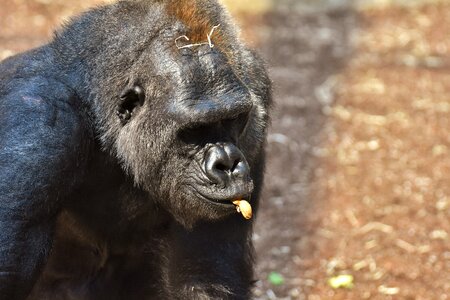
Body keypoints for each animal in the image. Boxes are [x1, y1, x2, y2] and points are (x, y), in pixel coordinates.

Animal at [0, 1, 270, 298]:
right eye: (194, 129)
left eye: (234, 118)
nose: (228, 163)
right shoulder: (39, 123)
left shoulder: (257, 88)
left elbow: (204, 274)